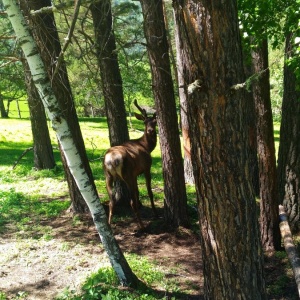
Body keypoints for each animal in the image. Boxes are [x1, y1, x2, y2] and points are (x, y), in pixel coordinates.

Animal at [103, 99, 158, 229]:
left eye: (155, 122)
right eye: (145, 122)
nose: (150, 130)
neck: (146, 147)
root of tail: (111, 159)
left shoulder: (135, 174)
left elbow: (137, 192)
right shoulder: (146, 167)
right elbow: (149, 192)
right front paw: (155, 214)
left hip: (108, 175)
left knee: (112, 200)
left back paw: (109, 225)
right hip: (126, 174)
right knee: (131, 201)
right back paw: (142, 226)